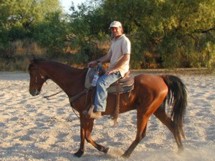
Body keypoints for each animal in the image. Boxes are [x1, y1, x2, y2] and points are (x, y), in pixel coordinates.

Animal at [28, 58, 186, 158]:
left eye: (32, 72)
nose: (32, 92)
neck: (76, 81)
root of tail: (161, 77)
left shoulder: (87, 115)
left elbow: (86, 135)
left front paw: (103, 149)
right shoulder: (84, 115)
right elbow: (83, 134)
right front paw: (81, 152)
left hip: (144, 112)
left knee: (140, 135)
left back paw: (125, 154)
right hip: (156, 110)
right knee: (172, 126)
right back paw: (180, 151)